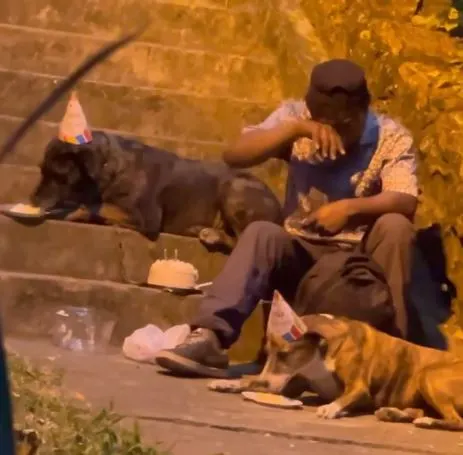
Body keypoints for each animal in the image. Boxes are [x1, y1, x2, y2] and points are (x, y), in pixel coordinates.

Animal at [30, 132, 284, 251]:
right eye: (41, 169)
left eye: (59, 175)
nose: (32, 200)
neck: (109, 165)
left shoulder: (146, 218)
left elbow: (97, 207)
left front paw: (75, 212)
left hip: (234, 187)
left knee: (243, 239)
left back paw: (214, 235)